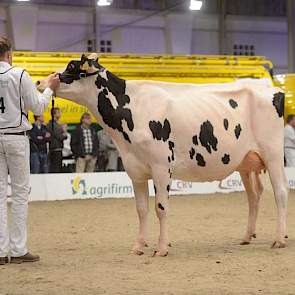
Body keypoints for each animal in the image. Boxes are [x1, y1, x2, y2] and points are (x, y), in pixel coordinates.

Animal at [38, 54, 290, 258]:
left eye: (72, 67)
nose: (41, 81)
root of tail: (270, 88)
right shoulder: (135, 170)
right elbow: (141, 209)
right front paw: (138, 246)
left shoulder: (161, 167)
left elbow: (161, 208)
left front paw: (161, 248)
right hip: (246, 163)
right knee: (254, 197)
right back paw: (247, 236)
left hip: (273, 154)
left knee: (280, 192)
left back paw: (279, 239)